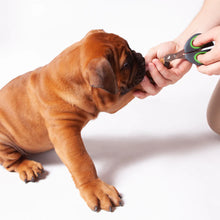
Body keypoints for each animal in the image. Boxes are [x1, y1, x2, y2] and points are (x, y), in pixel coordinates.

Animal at [0, 30, 150, 212]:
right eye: (126, 64)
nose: (141, 57)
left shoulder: (109, 99)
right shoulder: (66, 131)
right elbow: (81, 161)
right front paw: (95, 188)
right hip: (4, 142)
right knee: (11, 161)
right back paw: (27, 166)